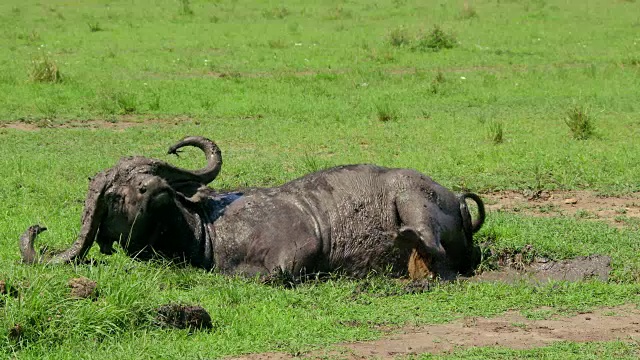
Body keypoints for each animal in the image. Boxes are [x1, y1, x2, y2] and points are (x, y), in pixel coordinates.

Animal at [22, 136, 488, 280]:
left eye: (149, 171)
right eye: (116, 195)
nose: (151, 187)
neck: (205, 233)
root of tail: (457, 200)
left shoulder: (294, 251)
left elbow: (275, 273)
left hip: (411, 196)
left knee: (433, 247)